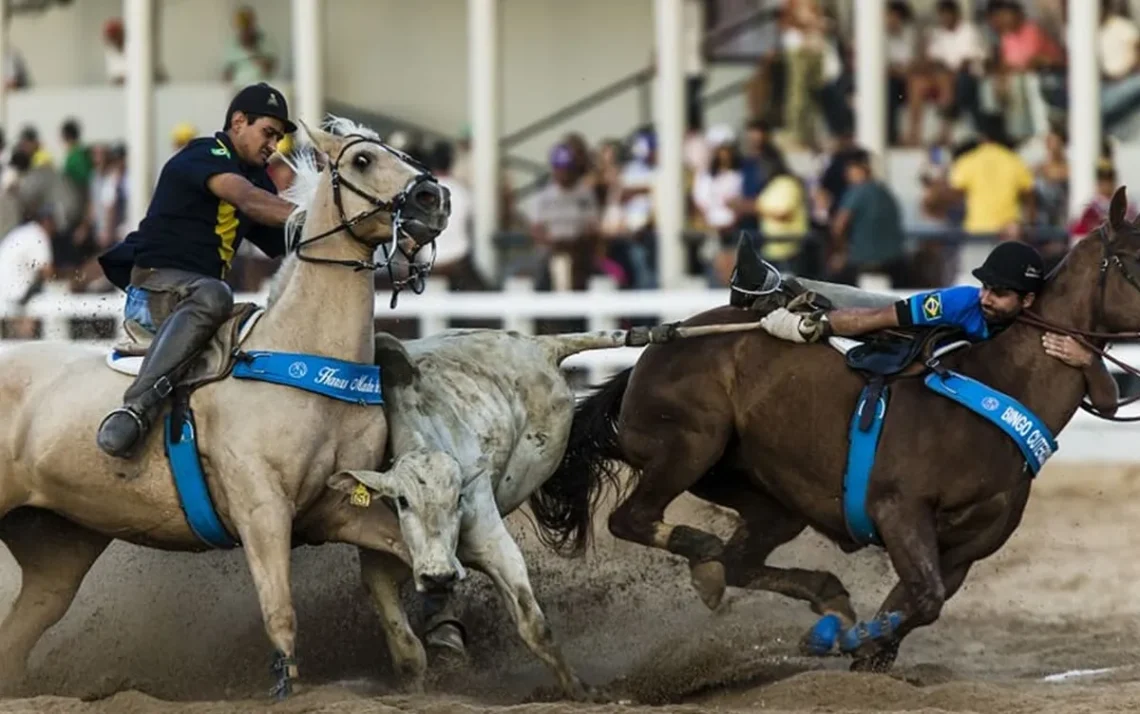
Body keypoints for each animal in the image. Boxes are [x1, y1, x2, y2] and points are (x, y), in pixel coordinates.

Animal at [0, 115, 449, 693]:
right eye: (362, 160)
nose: (433, 198)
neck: (304, 353)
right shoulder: (262, 510)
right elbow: (280, 613)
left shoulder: (336, 509)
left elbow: (405, 550)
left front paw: (420, 650)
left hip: (56, 552)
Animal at [531, 184, 1140, 670]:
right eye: (1133, 259)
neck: (995, 384)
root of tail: (653, 351)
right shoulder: (900, 511)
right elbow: (922, 599)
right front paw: (838, 641)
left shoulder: (963, 551)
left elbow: (917, 605)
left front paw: (865, 647)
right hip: (690, 444)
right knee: (637, 520)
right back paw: (709, 553)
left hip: (770, 499)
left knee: (739, 561)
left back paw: (807, 591)